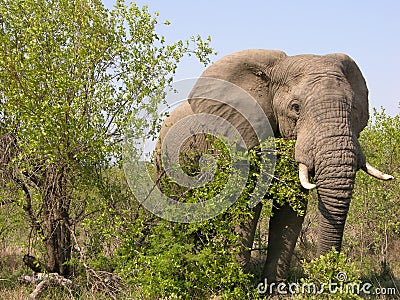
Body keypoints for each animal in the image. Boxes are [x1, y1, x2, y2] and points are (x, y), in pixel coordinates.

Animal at [153, 48, 394, 282]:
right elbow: (246, 207)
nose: (324, 279)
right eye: (295, 108)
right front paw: (235, 283)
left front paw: (274, 289)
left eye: (353, 108)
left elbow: (290, 211)